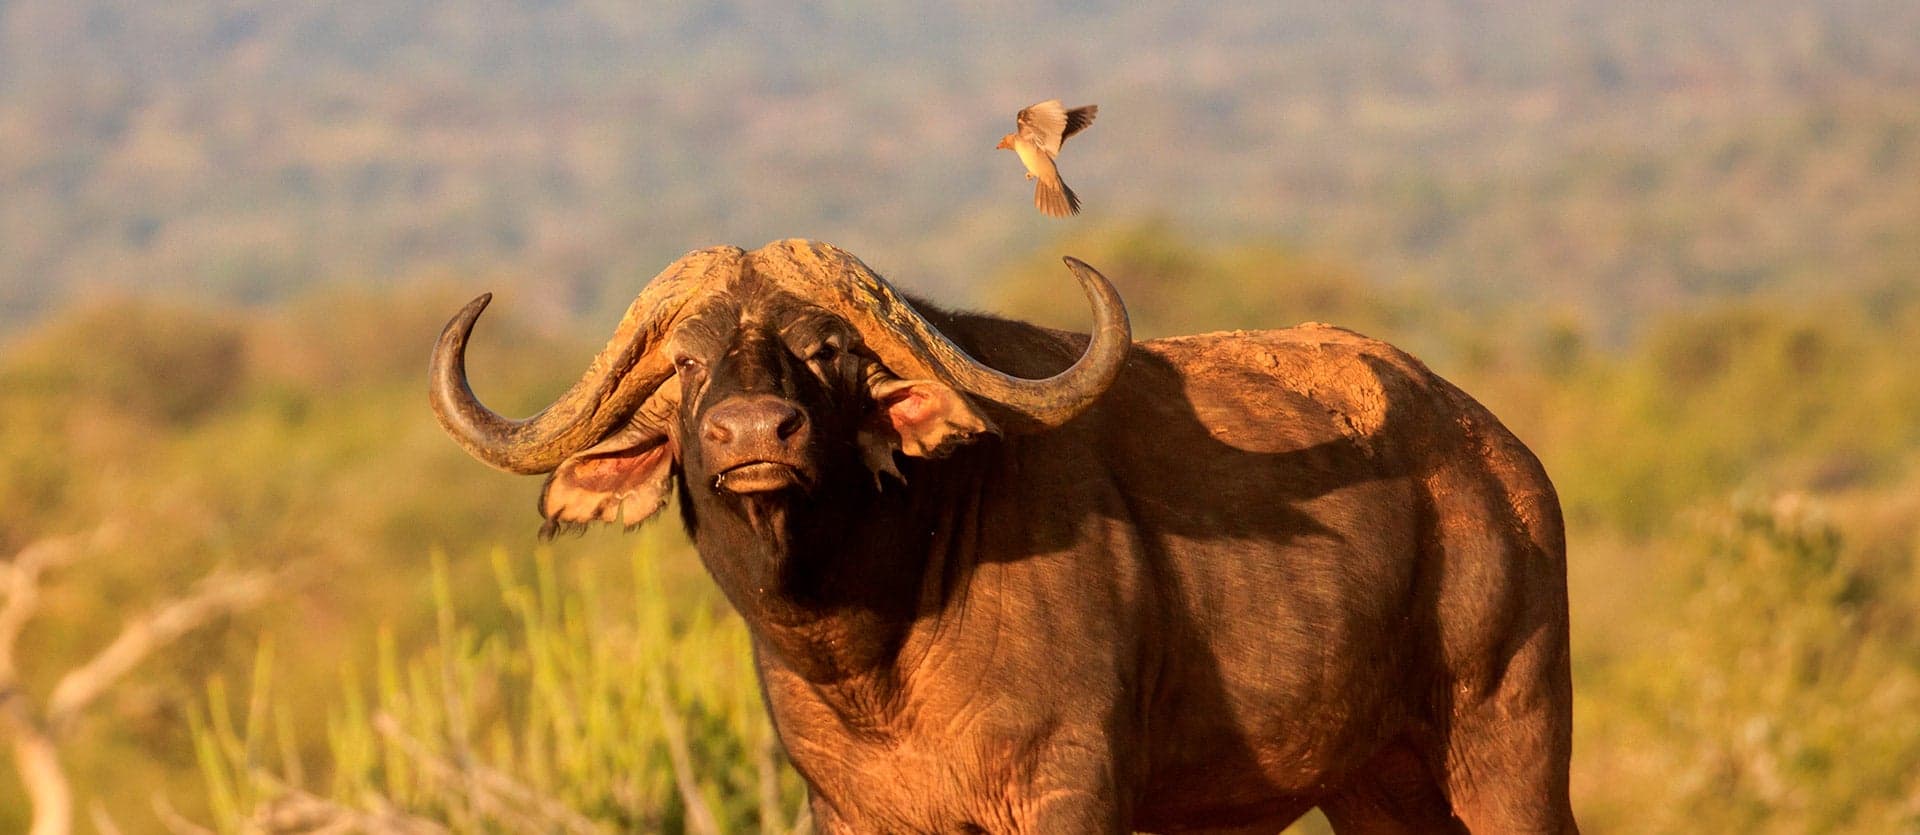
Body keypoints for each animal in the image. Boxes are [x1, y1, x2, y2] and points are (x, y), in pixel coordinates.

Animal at [429, 239, 1576, 833]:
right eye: (684, 364)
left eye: (828, 347)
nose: (754, 433)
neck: (879, 646)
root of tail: (1503, 465)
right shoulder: (853, 814)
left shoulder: (1069, 791)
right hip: (1377, 785)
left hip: (1507, 749)